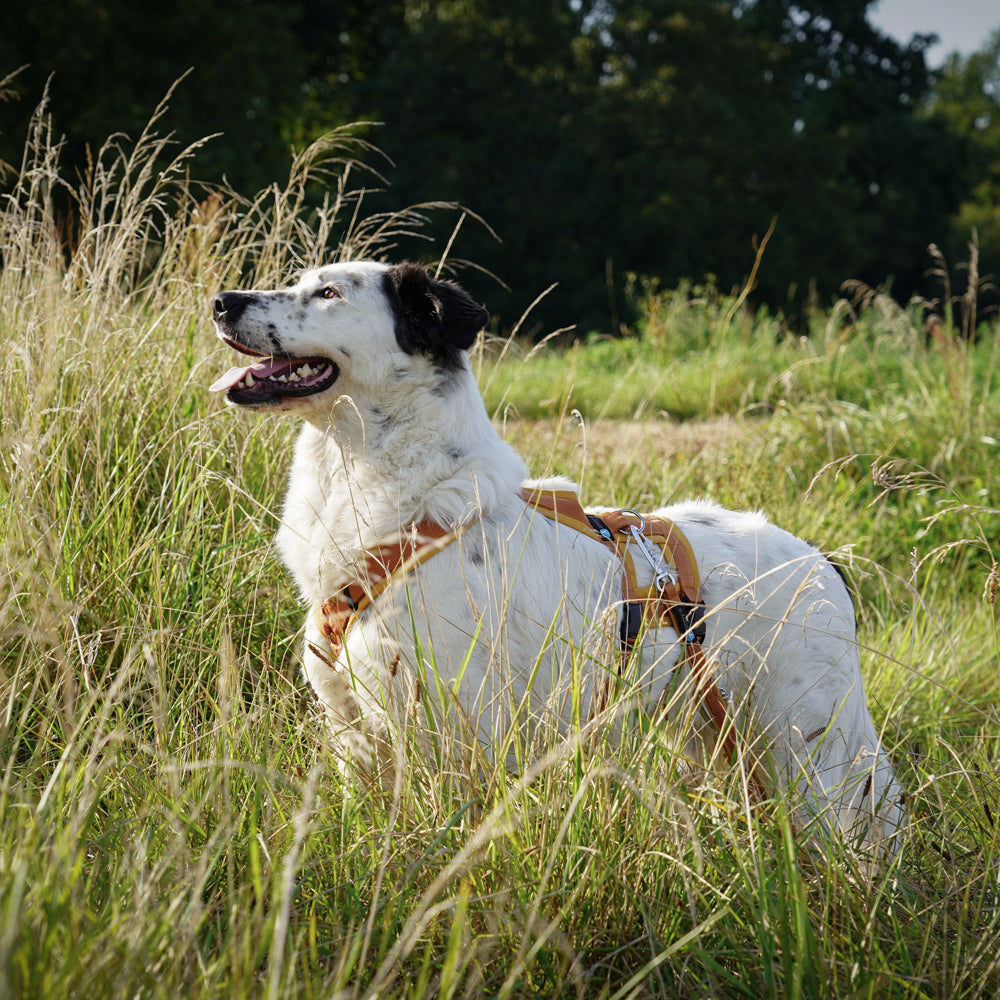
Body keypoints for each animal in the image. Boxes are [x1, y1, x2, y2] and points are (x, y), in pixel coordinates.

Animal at [209, 258, 908, 844]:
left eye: (329, 293)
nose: (221, 300)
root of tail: (821, 562)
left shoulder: (459, 735)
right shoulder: (354, 733)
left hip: (809, 745)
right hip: (713, 734)